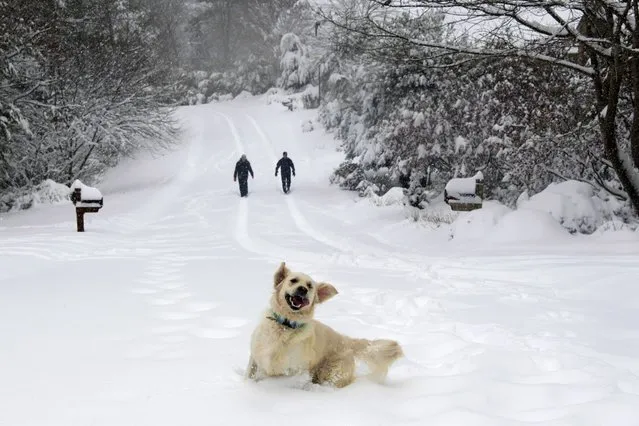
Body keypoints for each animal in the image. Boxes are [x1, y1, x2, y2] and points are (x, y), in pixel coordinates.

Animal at [246, 262, 404, 388]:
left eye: (310, 286)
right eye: (293, 280)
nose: (303, 289)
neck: (286, 326)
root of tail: (345, 340)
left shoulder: (296, 370)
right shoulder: (256, 358)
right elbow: (250, 374)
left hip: (332, 373)